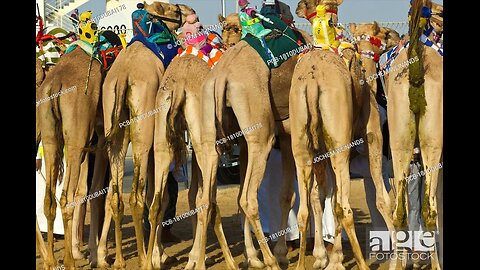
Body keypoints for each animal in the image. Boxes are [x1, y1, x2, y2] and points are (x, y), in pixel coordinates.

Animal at [101, 1, 195, 268]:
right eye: (174, 8)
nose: (190, 12)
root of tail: (123, 77)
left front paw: (159, 254)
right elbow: (159, 197)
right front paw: (158, 256)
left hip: (116, 132)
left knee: (115, 196)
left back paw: (119, 260)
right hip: (142, 132)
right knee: (136, 196)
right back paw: (142, 258)